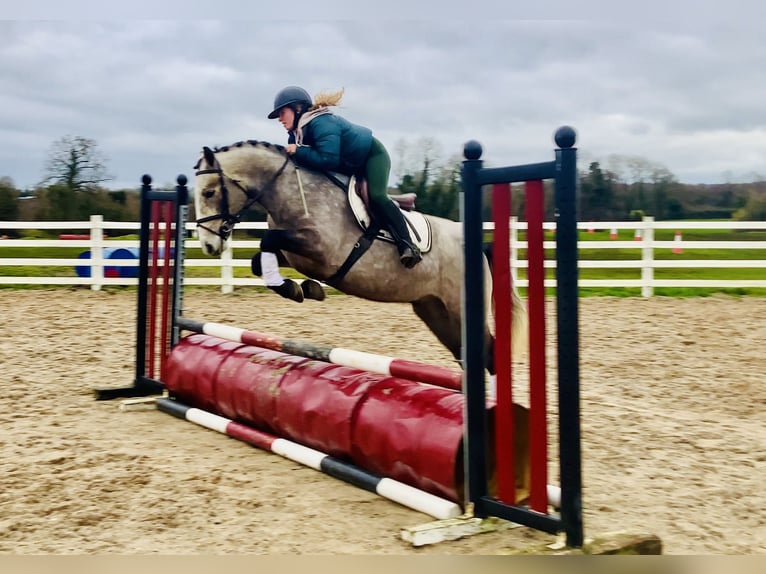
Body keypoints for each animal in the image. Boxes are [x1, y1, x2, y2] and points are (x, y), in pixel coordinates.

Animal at [192, 140, 527, 372]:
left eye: (209, 192)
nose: (208, 246)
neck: (292, 192)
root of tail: (479, 246)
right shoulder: (294, 254)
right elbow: (259, 259)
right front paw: (301, 289)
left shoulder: (321, 250)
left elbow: (266, 240)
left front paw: (303, 288)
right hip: (435, 311)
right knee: (468, 356)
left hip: (461, 310)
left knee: (488, 354)